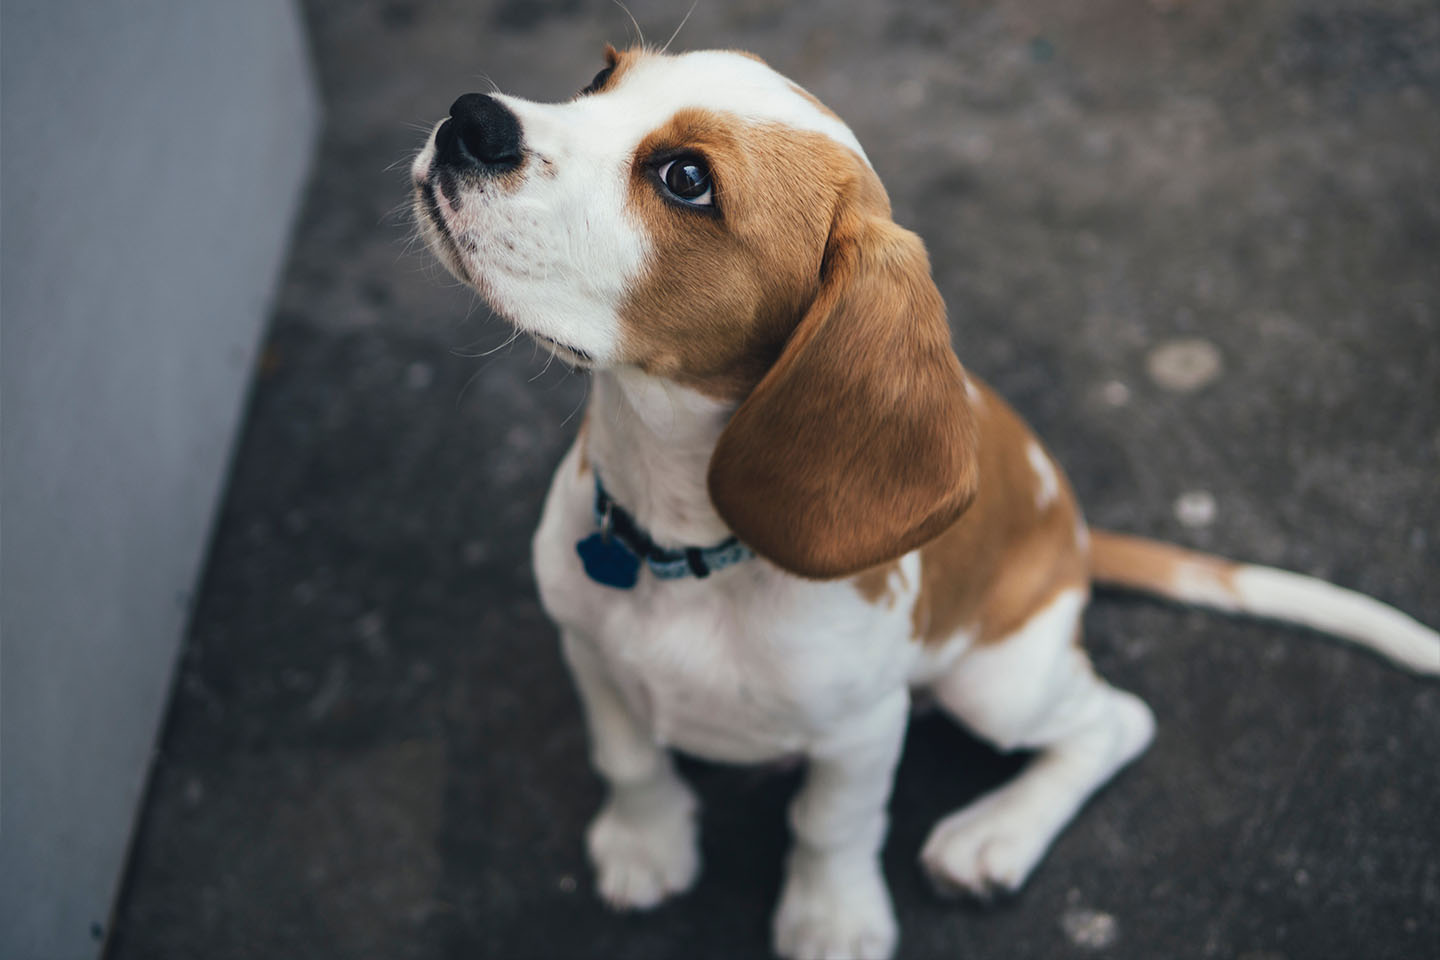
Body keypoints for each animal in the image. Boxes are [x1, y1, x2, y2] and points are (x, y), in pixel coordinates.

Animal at [408, 46, 1440, 960]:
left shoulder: (864, 729)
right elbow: (629, 758)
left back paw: (997, 834)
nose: (471, 119)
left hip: (996, 683)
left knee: (1117, 721)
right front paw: (646, 843)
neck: (681, 541)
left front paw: (831, 920)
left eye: (686, 178)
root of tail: (1075, 534)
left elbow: (833, 825)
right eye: (600, 76)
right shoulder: (588, 647)